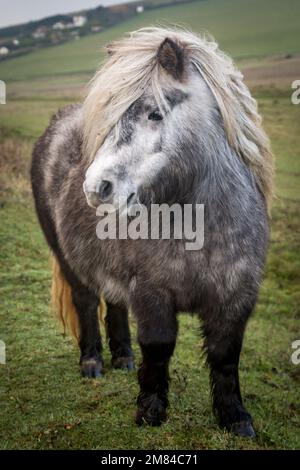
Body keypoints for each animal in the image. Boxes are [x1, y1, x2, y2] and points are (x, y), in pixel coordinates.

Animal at [30, 25, 272, 436]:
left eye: (154, 113)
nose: (96, 187)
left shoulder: (235, 295)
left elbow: (225, 355)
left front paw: (235, 418)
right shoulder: (152, 292)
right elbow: (158, 347)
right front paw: (151, 411)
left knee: (112, 301)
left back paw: (123, 357)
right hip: (67, 258)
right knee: (86, 300)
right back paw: (92, 362)